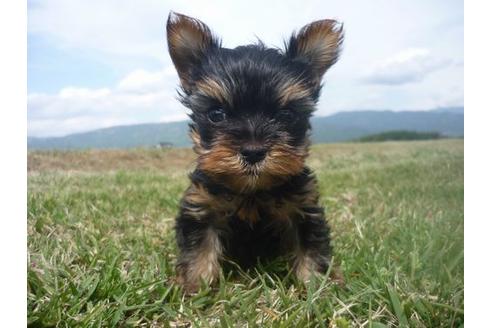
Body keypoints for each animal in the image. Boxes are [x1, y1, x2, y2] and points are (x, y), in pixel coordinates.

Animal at [167, 12, 344, 292]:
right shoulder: (202, 205)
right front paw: (195, 286)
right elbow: (199, 248)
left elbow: (310, 248)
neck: (252, 190)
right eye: (217, 114)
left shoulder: (303, 208)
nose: (253, 152)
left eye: (286, 115)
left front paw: (316, 286)